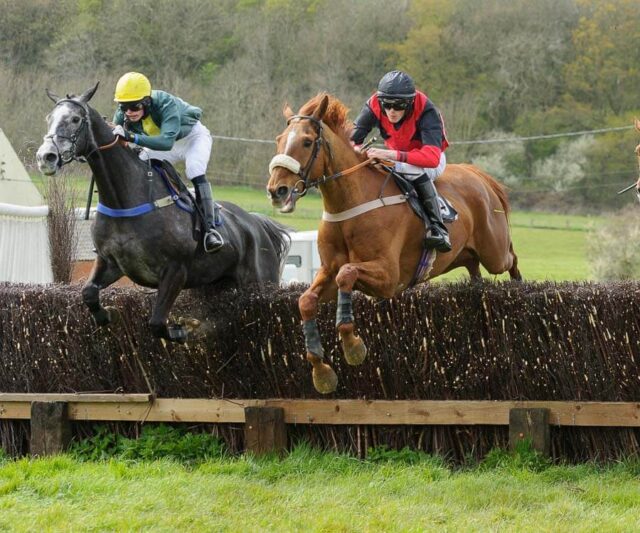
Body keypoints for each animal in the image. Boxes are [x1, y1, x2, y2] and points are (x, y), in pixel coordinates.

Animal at [37, 83, 290, 343]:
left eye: (75, 119)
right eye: (49, 118)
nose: (45, 157)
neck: (125, 200)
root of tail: (257, 224)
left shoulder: (175, 271)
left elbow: (157, 322)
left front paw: (183, 329)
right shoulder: (110, 262)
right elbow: (88, 293)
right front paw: (107, 314)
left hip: (260, 283)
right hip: (212, 283)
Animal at [267, 93, 521, 394]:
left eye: (307, 141)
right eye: (279, 139)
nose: (277, 190)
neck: (350, 203)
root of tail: (479, 175)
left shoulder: (388, 277)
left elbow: (347, 274)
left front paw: (352, 346)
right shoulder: (327, 270)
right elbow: (306, 300)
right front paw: (321, 370)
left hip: (494, 252)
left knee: (511, 259)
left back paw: (518, 287)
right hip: (467, 255)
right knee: (474, 268)